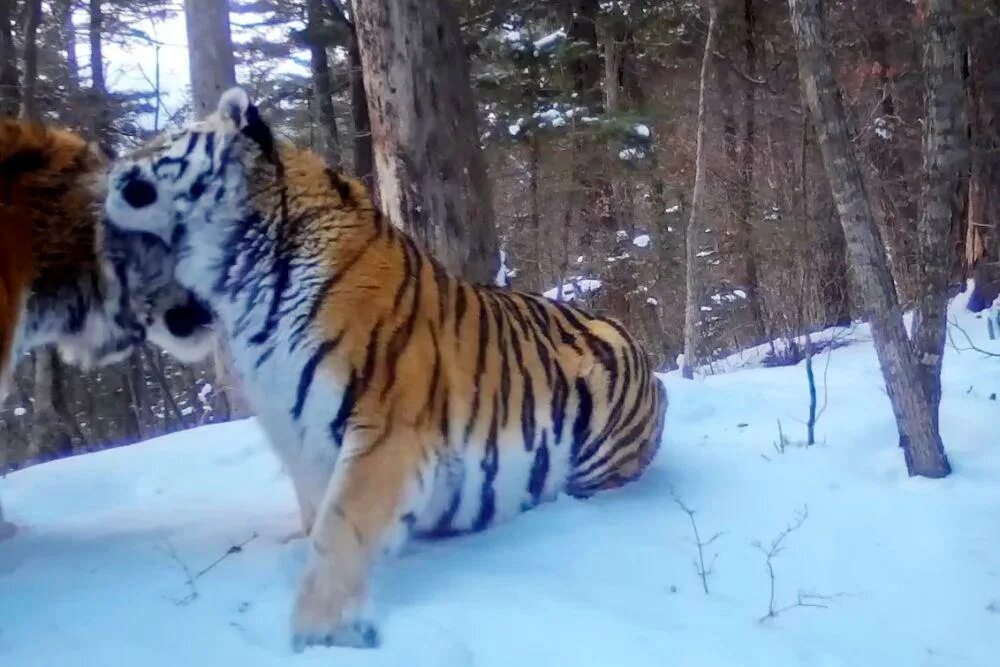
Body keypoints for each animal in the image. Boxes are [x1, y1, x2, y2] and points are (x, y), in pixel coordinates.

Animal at [101, 87, 668, 652]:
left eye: (164, 142)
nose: (108, 169)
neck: (240, 290)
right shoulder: (298, 435)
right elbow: (317, 515)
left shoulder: (386, 432)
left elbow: (339, 530)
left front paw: (319, 632)